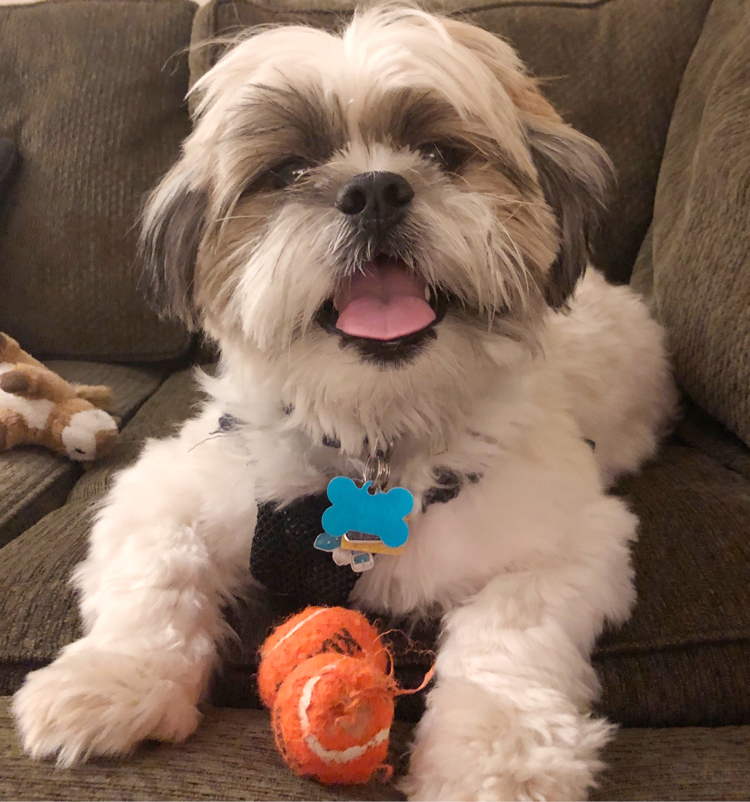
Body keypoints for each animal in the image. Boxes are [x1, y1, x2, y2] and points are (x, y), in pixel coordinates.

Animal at [13, 7, 680, 800]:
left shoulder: (568, 542)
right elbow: (157, 581)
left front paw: (499, 754)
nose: (376, 189)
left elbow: (510, 636)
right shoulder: (173, 490)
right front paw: (112, 681)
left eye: (439, 152)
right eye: (289, 171)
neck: (374, 443)